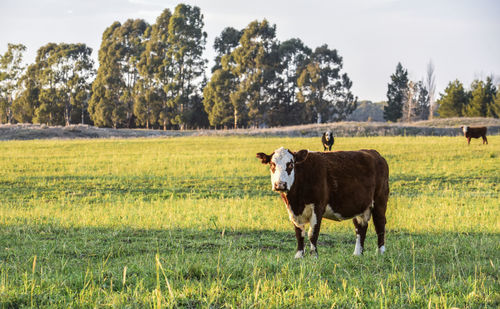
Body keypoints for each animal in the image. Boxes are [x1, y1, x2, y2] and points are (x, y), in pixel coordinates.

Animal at [256, 147, 388, 258]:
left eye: (291, 164)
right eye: (272, 164)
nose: (280, 184)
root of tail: (374, 153)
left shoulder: (317, 207)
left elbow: (312, 233)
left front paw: (314, 255)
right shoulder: (293, 211)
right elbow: (299, 233)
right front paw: (299, 255)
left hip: (380, 201)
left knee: (380, 225)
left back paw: (380, 252)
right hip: (360, 207)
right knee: (360, 228)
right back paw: (357, 253)